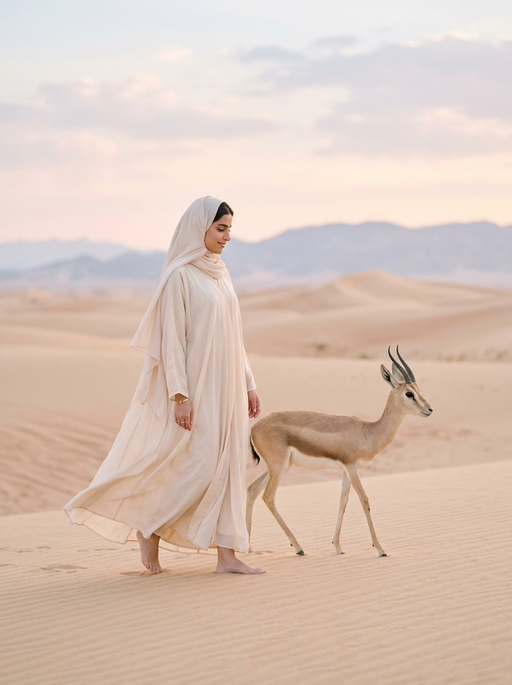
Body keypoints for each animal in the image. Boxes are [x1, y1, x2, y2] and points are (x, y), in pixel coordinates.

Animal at [246, 347, 433, 557]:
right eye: (409, 393)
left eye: (419, 390)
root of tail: (254, 428)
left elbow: (343, 501)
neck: (368, 432)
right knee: (268, 497)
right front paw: (380, 549)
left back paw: (248, 547)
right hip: (279, 468)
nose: (430, 409)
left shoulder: (345, 470)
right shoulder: (352, 468)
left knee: (252, 490)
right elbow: (364, 500)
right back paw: (298, 547)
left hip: (277, 467)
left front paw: (337, 546)